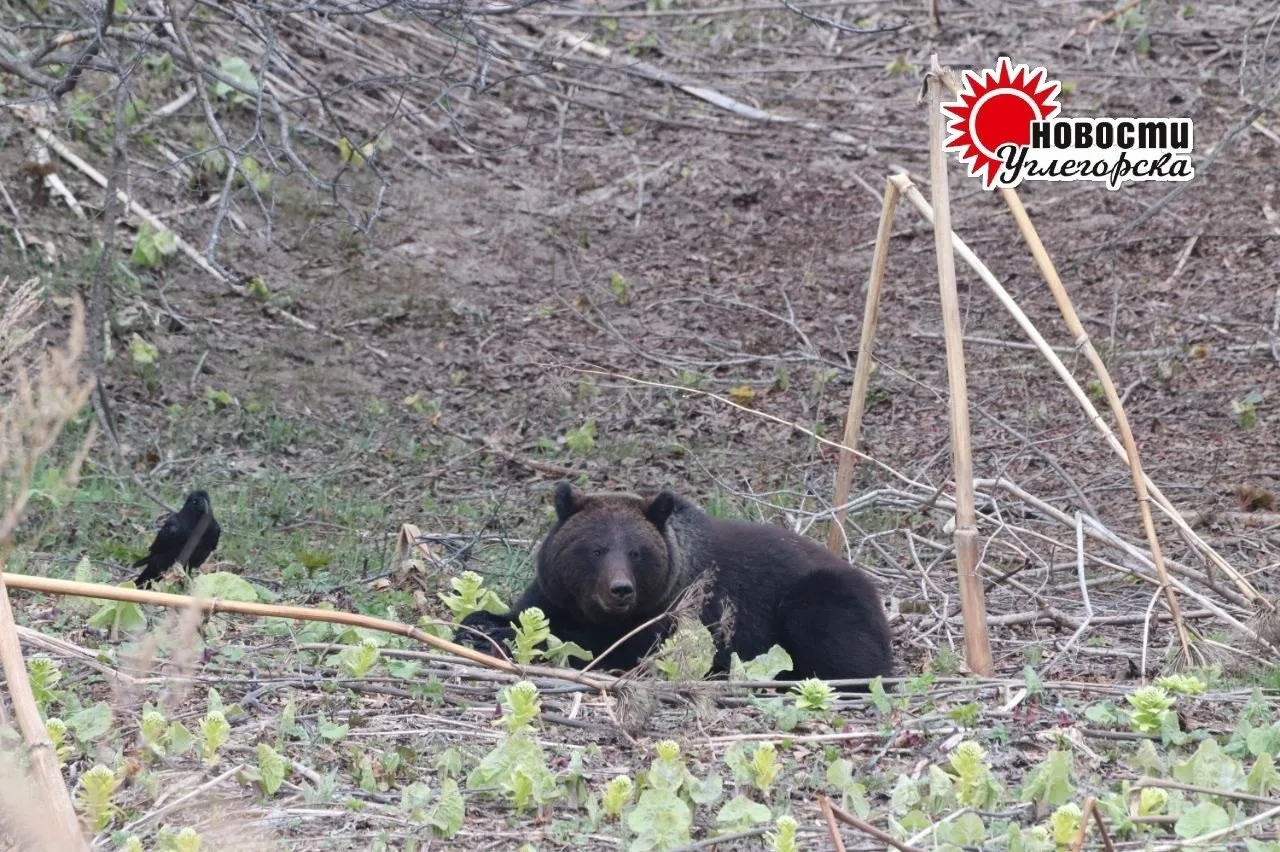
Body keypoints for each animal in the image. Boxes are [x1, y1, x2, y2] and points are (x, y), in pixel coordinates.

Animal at [459, 482, 892, 684]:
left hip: (821, 594)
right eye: (596, 549)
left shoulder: (675, 616)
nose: (620, 590)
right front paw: (480, 626)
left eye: (635, 552)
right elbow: (524, 614)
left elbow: (605, 650)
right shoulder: (554, 594)